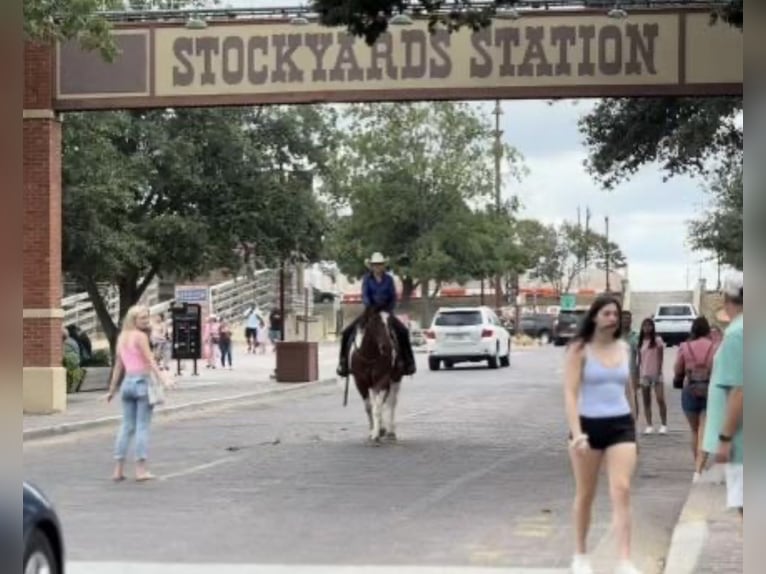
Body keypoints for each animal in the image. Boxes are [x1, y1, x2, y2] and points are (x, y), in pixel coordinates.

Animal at [352, 306, 404, 446]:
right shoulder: (360, 382)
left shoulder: (382, 380)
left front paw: (376, 434)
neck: (370, 355)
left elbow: (378, 408)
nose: (387, 346)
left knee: (391, 402)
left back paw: (390, 432)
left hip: (395, 380)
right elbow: (369, 407)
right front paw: (374, 431)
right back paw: (382, 429)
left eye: (389, 324)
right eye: (375, 323)